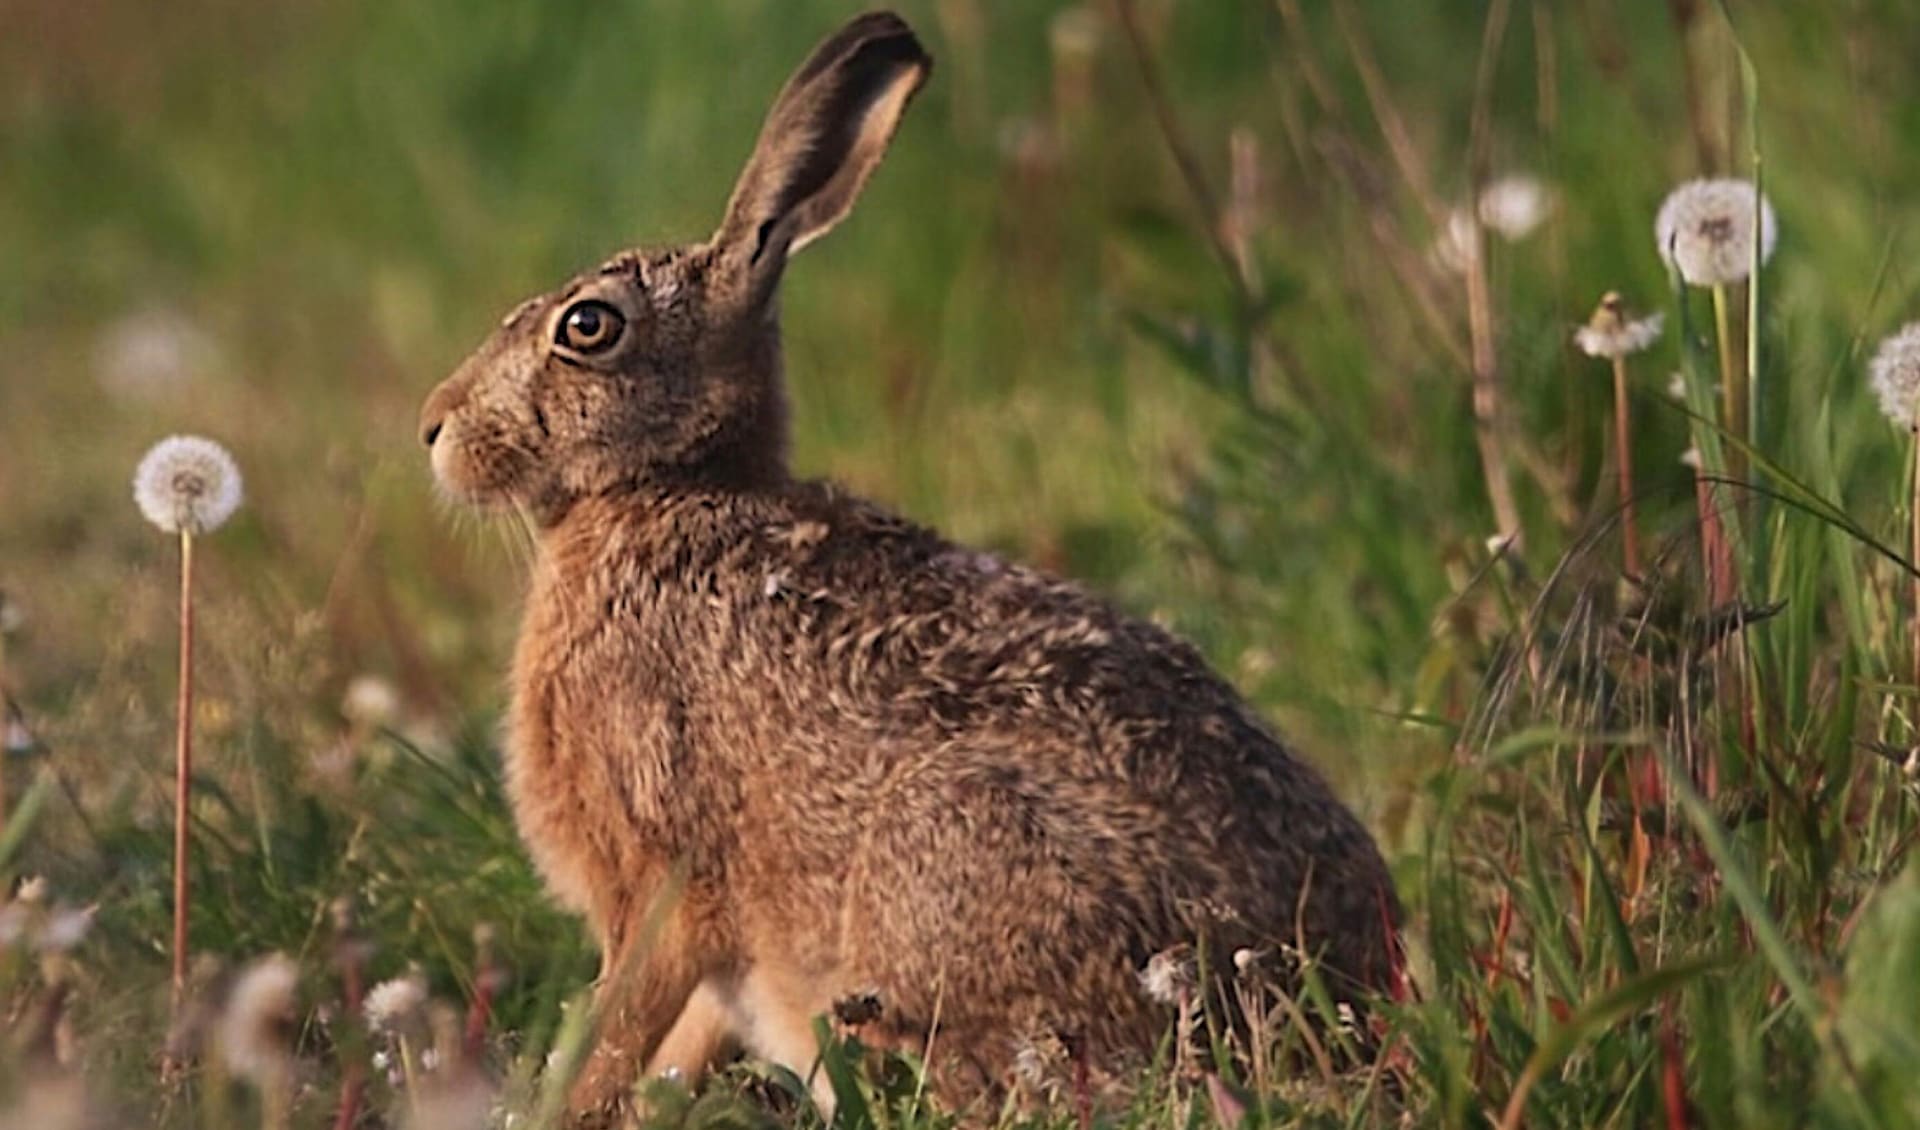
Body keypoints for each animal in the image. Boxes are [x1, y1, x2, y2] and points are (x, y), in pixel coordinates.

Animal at [418, 10, 1401, 1123]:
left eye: (587, 325)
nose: (435, 427)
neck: (668, 487)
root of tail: (1336, 1002)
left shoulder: (658, 873)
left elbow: (619, 1022)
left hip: (947, 853)